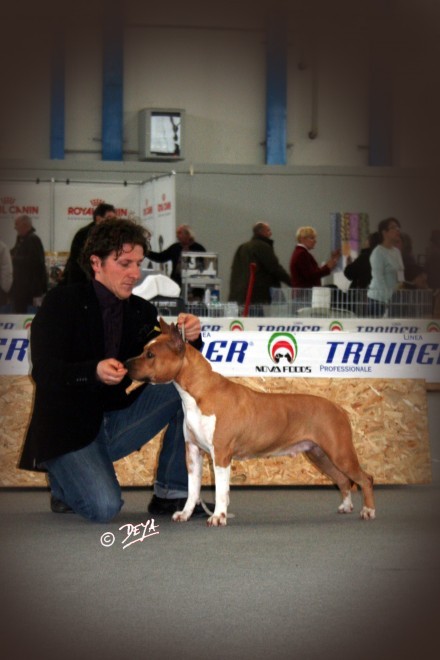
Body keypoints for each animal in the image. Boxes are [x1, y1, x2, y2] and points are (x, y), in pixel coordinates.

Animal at [126, 318, 375, 526]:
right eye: (143, 350)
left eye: (150, 354)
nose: (127, 364)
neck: (198, 393)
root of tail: (339, 407)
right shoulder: (194, 452)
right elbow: (193, 489)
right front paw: (186, 514)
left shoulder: (221, 455)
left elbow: (220, 490)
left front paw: (218, 517)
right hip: (319, 454)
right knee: (343, 480)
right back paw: (345, 506)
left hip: (339, 452)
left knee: (365, 478)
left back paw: (368, 511)